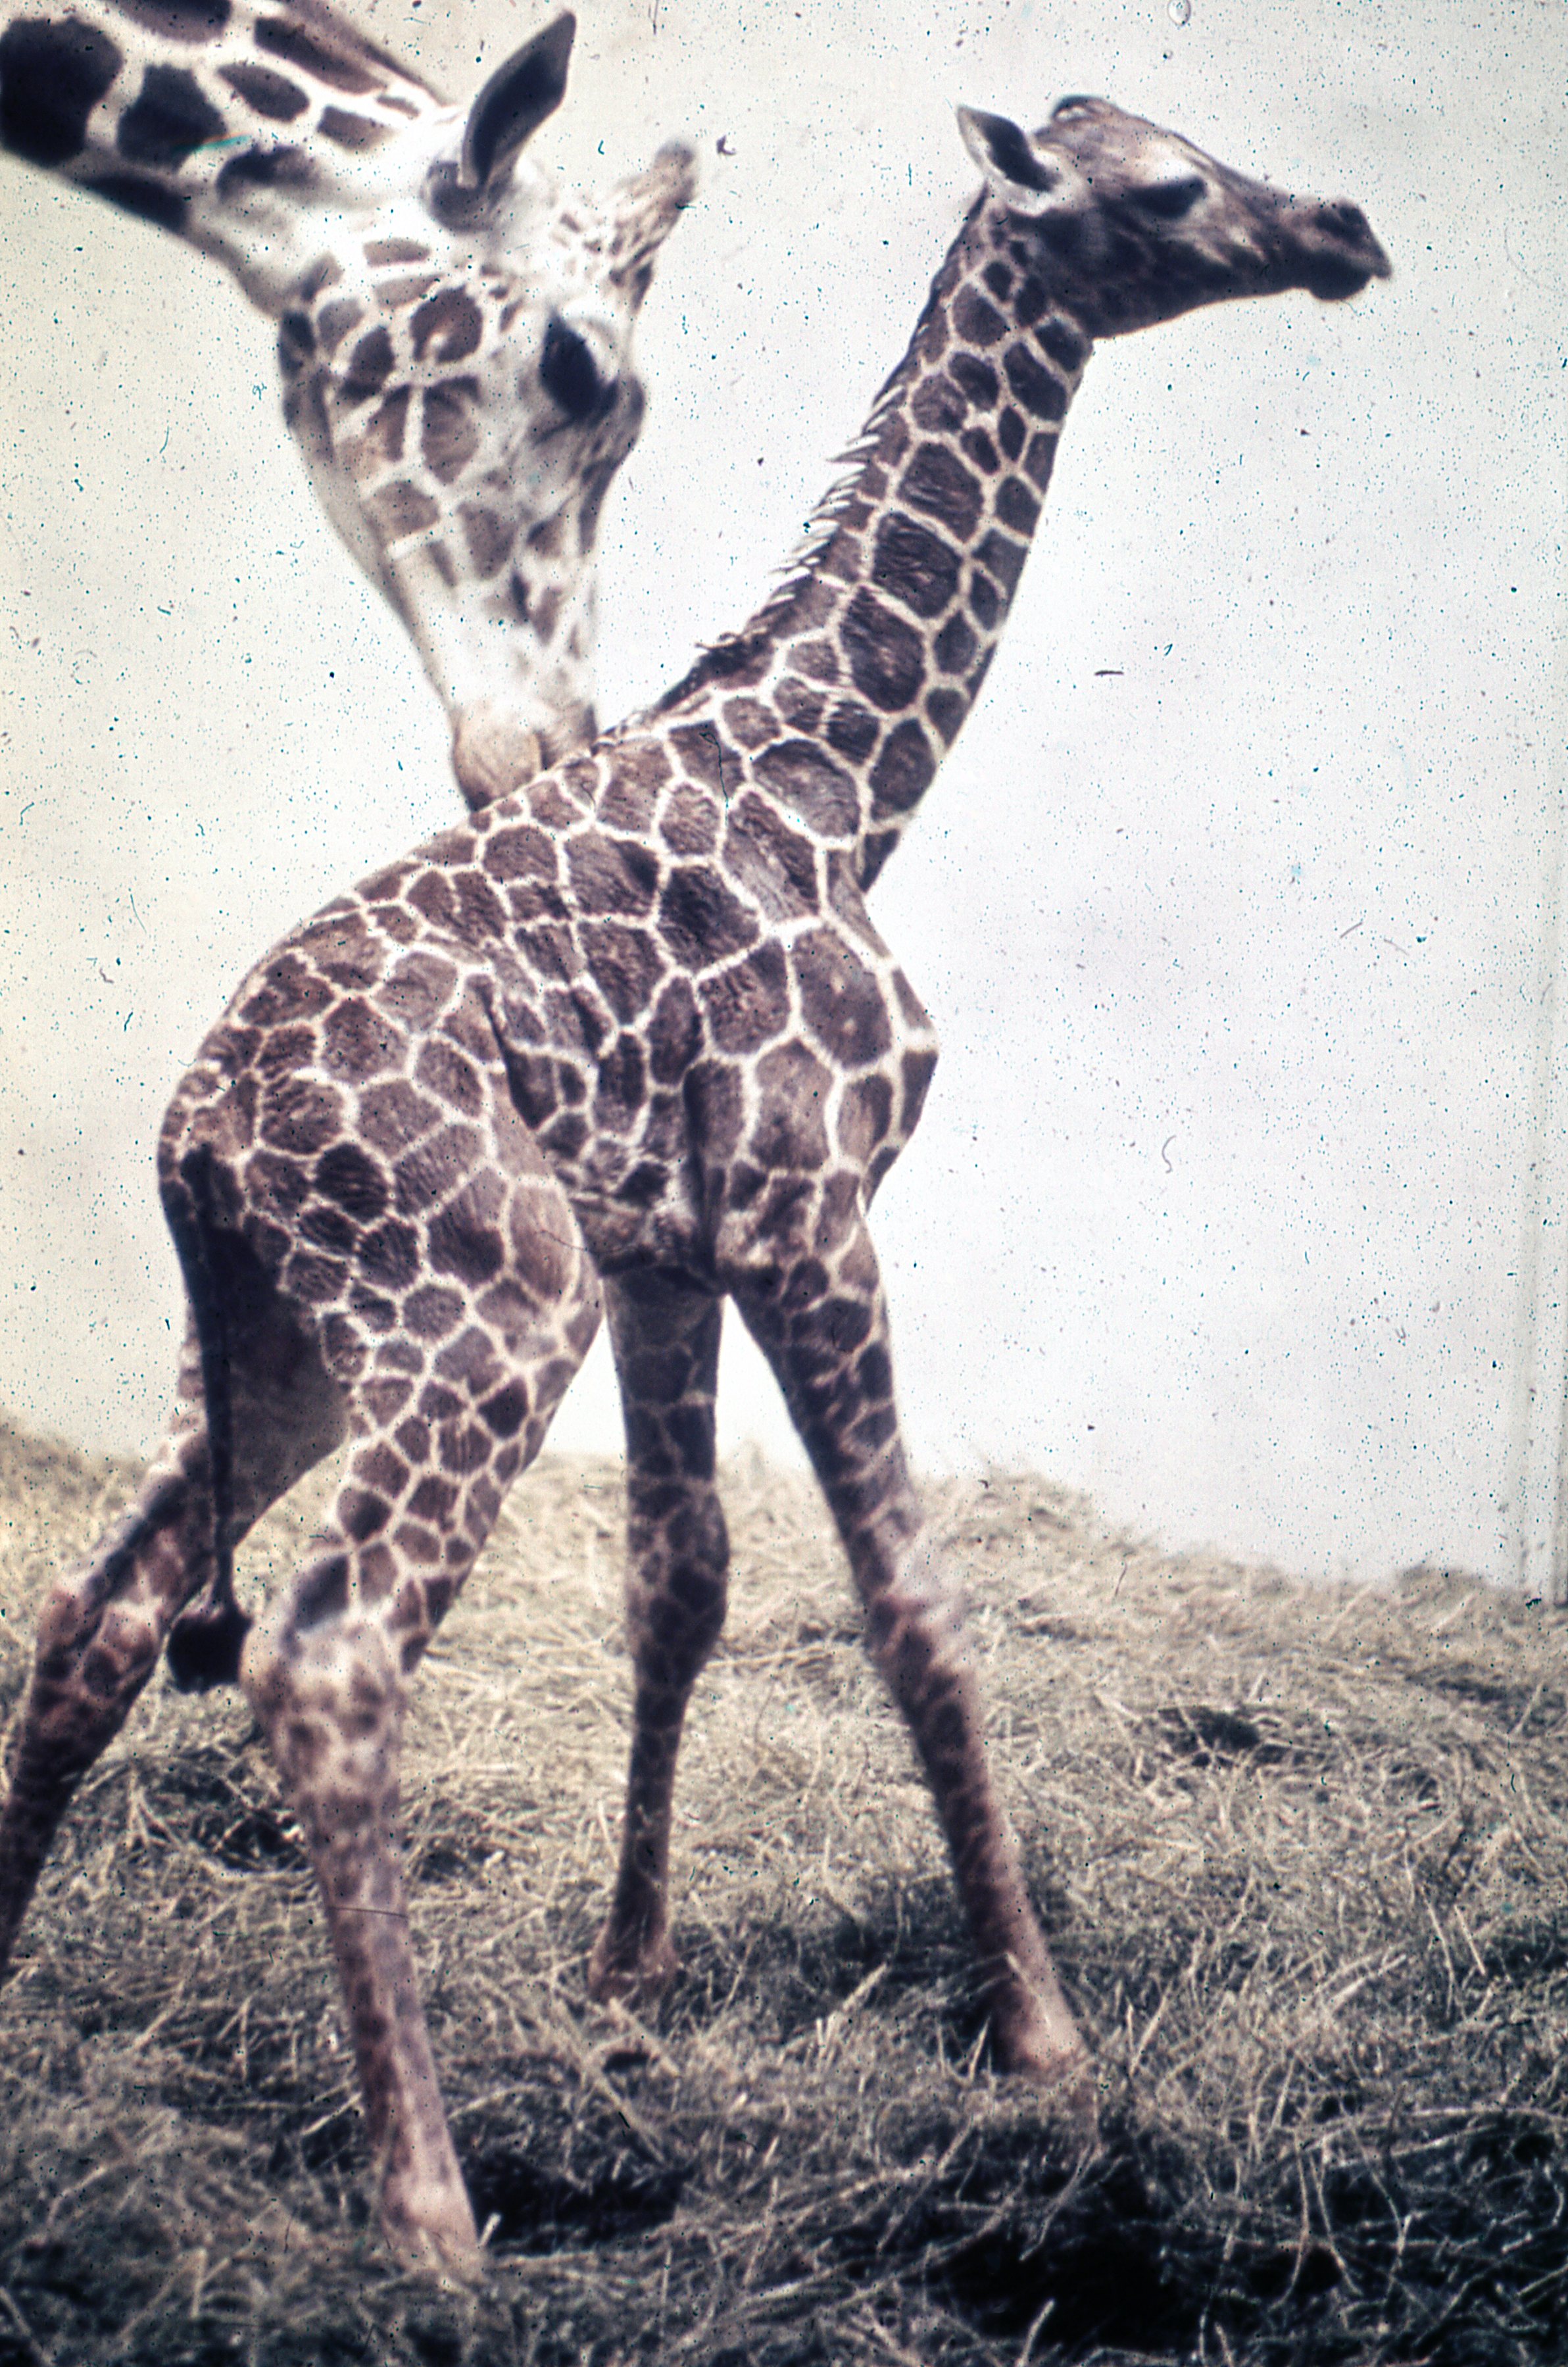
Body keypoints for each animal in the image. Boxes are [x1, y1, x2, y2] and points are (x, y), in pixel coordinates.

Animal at [0, 92, 1392, 2272]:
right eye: (1168, 189)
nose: (1338, 229)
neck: (840, 778)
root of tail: (188, 1136)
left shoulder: (670, 1242)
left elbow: (683, 1582)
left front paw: (628, 1981)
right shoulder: (810, 1206)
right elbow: (913, 1602)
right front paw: (1042, 2036)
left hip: (282, 1343)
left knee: (97, 1608)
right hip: (483, 1299)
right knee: (326, 1658)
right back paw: (429, 2201)